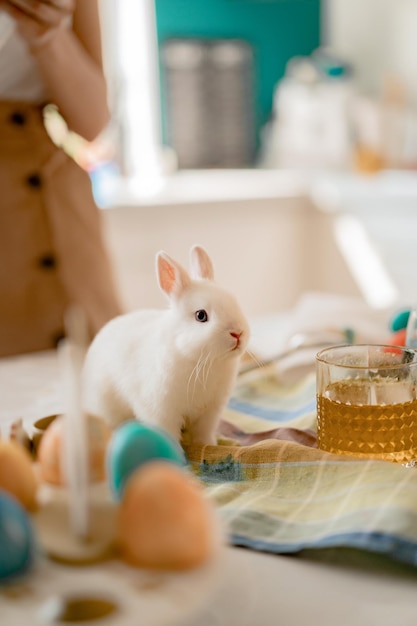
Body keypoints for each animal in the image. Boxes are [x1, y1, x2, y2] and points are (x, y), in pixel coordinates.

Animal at [83, 244, 249, 444]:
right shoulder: (161, 412)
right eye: (201, 315)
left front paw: (208, 445)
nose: (238, 333)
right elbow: (168, 435)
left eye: (234, 301)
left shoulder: (210, 412)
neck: (201, 361)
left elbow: (204, 432)